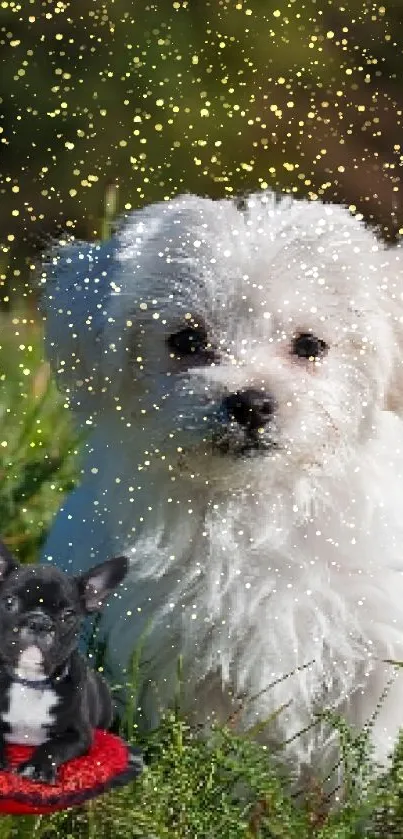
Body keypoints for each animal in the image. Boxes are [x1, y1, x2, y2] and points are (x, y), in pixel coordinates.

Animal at [41, 194, 403, 776]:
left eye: (310, 345)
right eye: (187, 340)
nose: (251, 403)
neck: (255, 503)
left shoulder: (371, 642)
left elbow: (354, 752)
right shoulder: (178, 651)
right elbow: (210, 743)